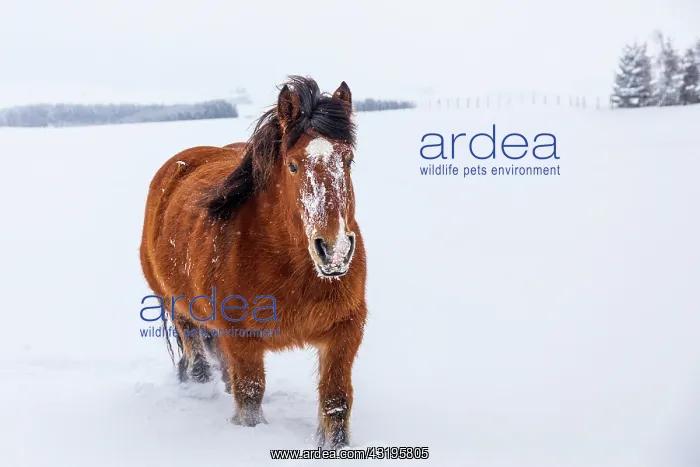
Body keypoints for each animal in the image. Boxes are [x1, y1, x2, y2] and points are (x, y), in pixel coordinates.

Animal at [139, 76, 367, 450]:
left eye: (347, 160)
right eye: (292, 165)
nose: (333, 250)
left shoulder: (345, 329)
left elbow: (336, 401)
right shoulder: (241, 337)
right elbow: (249, 395)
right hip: (175, 305)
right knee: (197, 352)